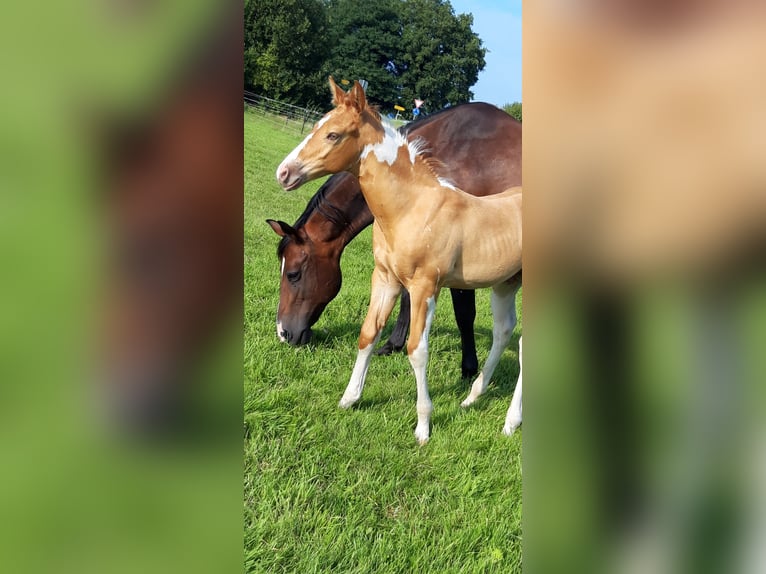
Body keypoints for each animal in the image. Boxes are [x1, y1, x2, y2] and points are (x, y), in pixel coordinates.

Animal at [276, 78, 522, 443]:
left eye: (333, 135)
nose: (284, 173)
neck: (414, 206)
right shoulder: (385, 278)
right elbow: (368, 334)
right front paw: (349, 398)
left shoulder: (427, 286)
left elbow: (418, 349)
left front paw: (423, 426)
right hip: (505, 285)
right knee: (504, 332)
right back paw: (473, 398)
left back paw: (510, 422)